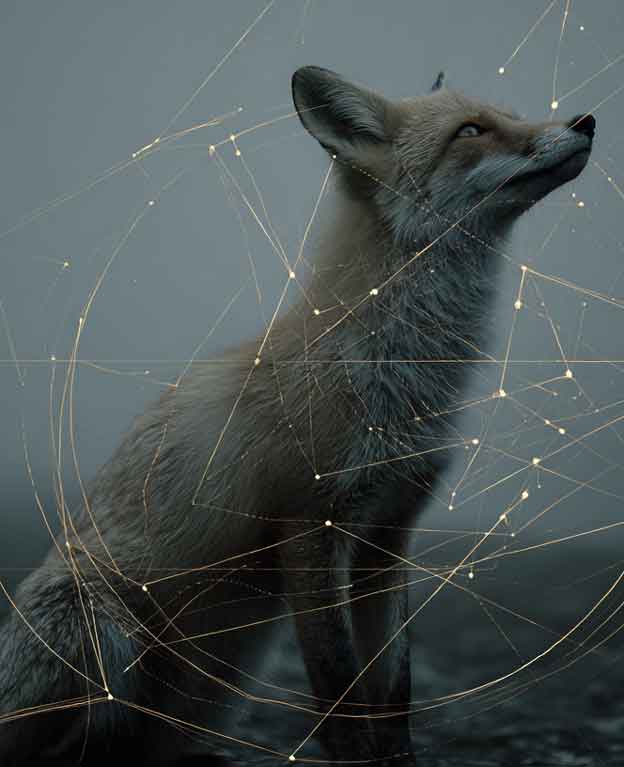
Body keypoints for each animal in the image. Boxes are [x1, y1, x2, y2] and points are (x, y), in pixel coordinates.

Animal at [0, 66, 595, 765]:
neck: (396, 373)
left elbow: (393, 689)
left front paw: (396, 759)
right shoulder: (311, 526)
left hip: (214, 688)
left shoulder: (387, 535)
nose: (585, 122)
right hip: (96, 628)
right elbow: (341, 689)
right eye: (471, 131)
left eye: (512, 114)